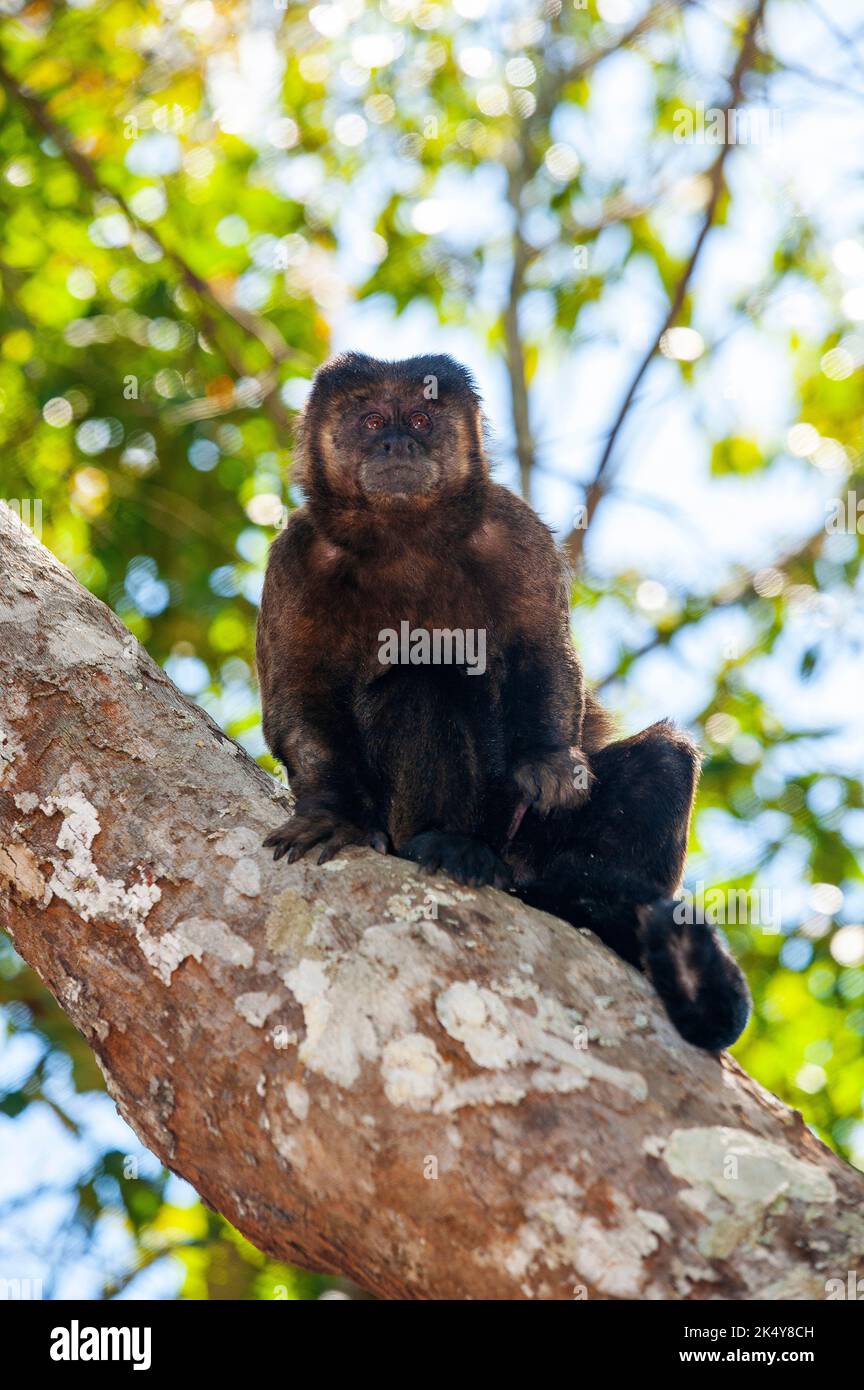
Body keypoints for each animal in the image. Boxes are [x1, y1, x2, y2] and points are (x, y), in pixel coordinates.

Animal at [256, 353, 750, 1045]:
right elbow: (296, 699)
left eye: (422, 418)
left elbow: (544, 652)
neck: (403, 534)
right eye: (372, 419)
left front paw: (545, 760)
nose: (396, 443)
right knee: (423, 683)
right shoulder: (295, 560)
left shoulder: (513, 530)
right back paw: (445, 843)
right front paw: (333, 812)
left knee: (664, 759)